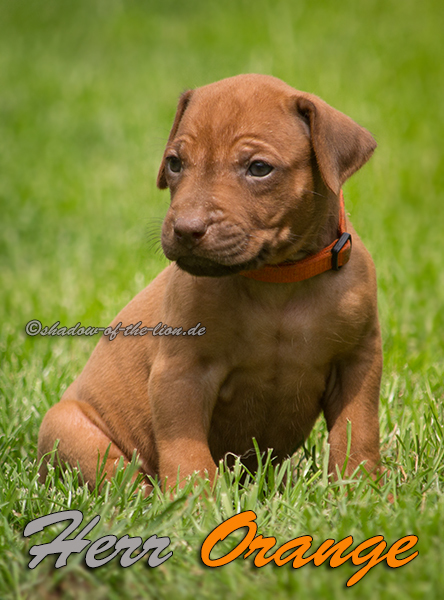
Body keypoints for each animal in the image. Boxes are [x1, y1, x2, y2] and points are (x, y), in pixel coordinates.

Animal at [38, 74, 382, 492]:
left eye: (259, 168)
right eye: (174, 163)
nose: (186, 229)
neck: (278, 278)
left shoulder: (358, 361)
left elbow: (357, 432)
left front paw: (362, 490)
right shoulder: (180, 373)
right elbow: (186, 451)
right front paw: (195, 500)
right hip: (71, 430)